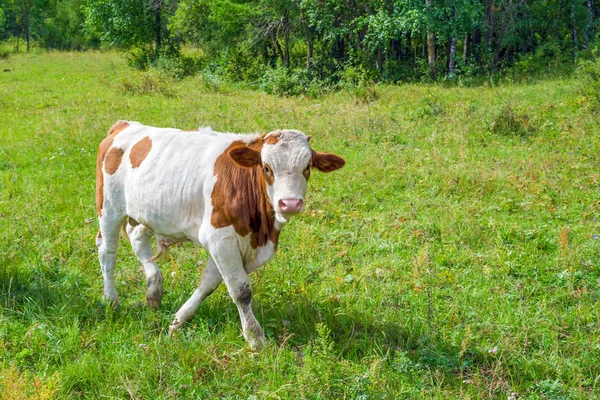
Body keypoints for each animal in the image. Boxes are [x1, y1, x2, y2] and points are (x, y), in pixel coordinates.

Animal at [96, 120, 344, 348]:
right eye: (266, 168)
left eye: (308, 167)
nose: (290, 203)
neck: (262, 233)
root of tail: (124, 124)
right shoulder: (220, 237)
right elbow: (240, 290)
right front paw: (255, 338)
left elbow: (209, 283)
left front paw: (179, 320)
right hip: (108, 207)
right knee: (108, 252)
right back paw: (111, 301)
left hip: (146, 212)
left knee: (137, 236)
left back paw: (154, 289)